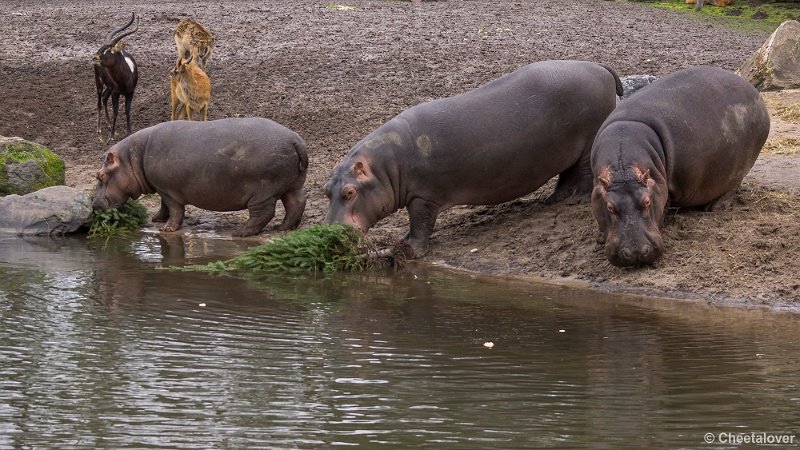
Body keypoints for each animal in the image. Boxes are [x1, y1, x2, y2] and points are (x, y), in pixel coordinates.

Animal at [91, 118, 306, 237]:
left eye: (100, 175)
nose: (94, 204)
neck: (132, 159)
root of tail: (295, 140)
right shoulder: (161, 188)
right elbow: (164, 206)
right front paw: (157, 219)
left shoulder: (168, 190)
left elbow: (175, 209)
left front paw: (167, 229)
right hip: (292, 185)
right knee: (296, 204)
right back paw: (282, 228)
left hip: (262, 192)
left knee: (263, 213)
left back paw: (241, 232)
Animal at [324, 58, 624, 258]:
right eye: (326, 190)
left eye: (350, 192)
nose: (330, 233)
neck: (385, 168)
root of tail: (598, 66)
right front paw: (403, 240)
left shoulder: (424, 197)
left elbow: (420, 223)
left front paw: (412, 249)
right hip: (564, 149)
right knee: (566, 175)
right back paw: (554, 199)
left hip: (588, 139)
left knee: (583, 173)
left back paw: (576, 199)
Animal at [592, 64, 772, 268]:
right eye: (609, 207)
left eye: (647, 202)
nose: (636, 253)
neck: (623, 168)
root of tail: (753, 90)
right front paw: (600, 237)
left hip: (741, 166)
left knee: (733, 185)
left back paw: (715, 206)